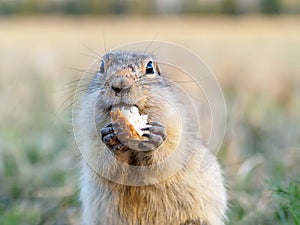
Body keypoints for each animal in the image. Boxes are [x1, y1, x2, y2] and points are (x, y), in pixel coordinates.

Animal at [74, 51, 227, 225]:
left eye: (150, 67)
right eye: (101, 66)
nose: (120, 83)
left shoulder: (176, 130)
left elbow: (169, 156)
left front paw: (155, 137)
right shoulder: (90, 137)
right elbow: (100, 160)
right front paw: (109, 137)